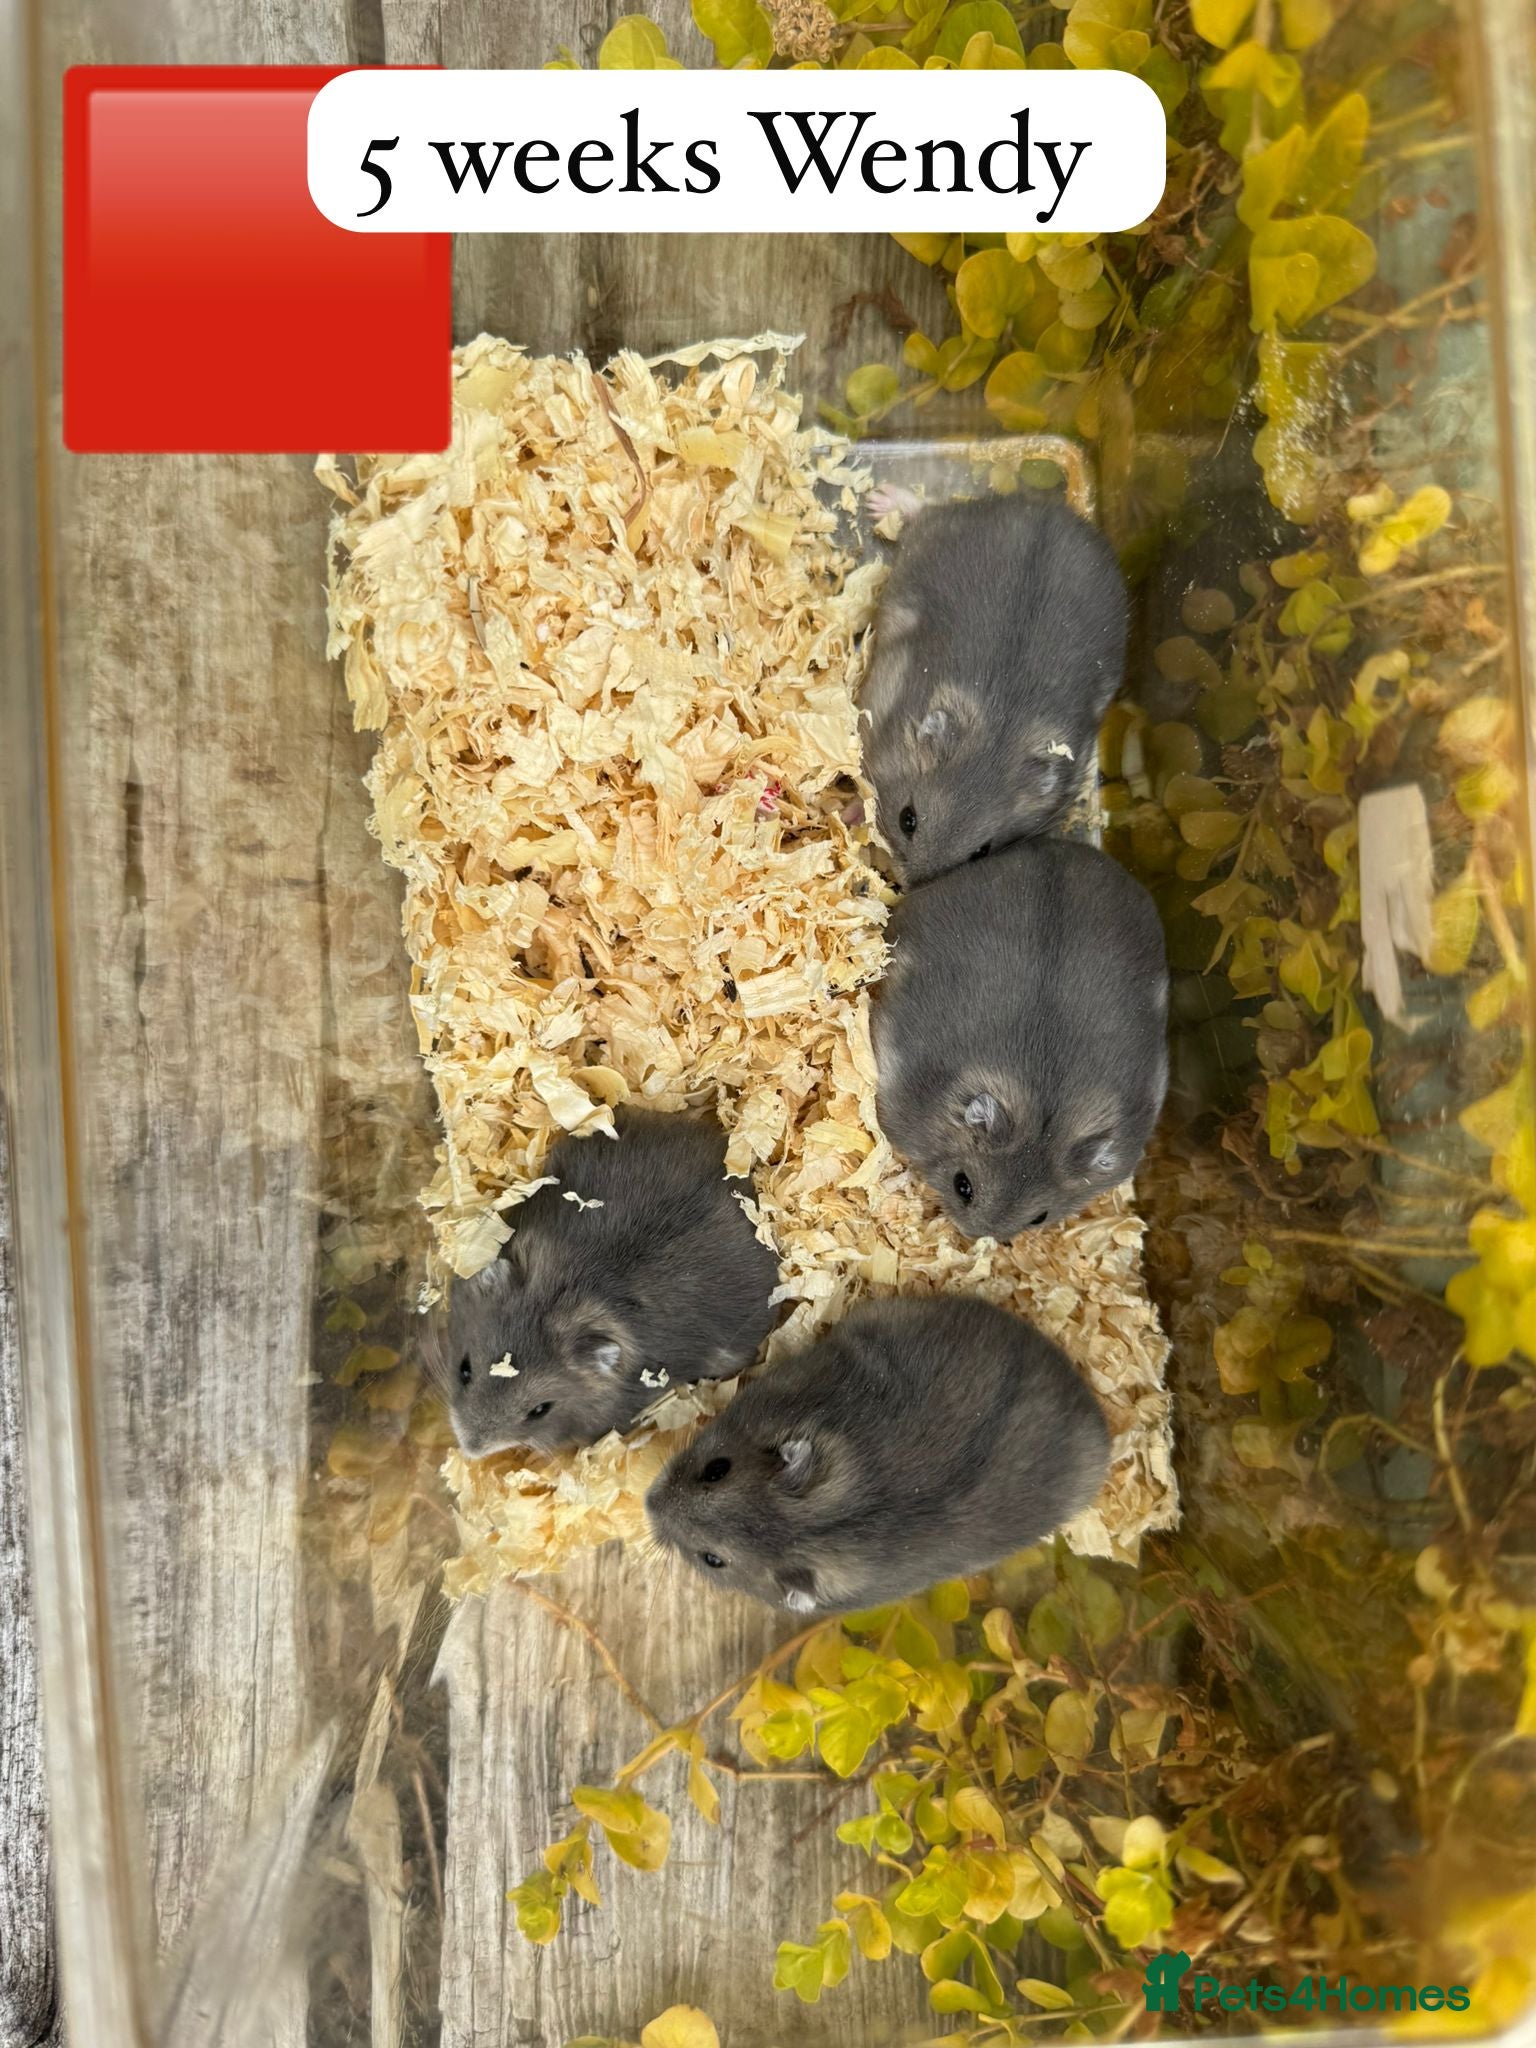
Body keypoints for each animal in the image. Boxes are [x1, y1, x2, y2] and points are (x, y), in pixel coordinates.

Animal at [859, 492, 1127, 883]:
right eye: (907, 819)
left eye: (980, 853)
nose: (911, 886)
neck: (996, 739)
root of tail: (1054, 509)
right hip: (944, 529)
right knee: (926, 511)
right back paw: (881, 501)